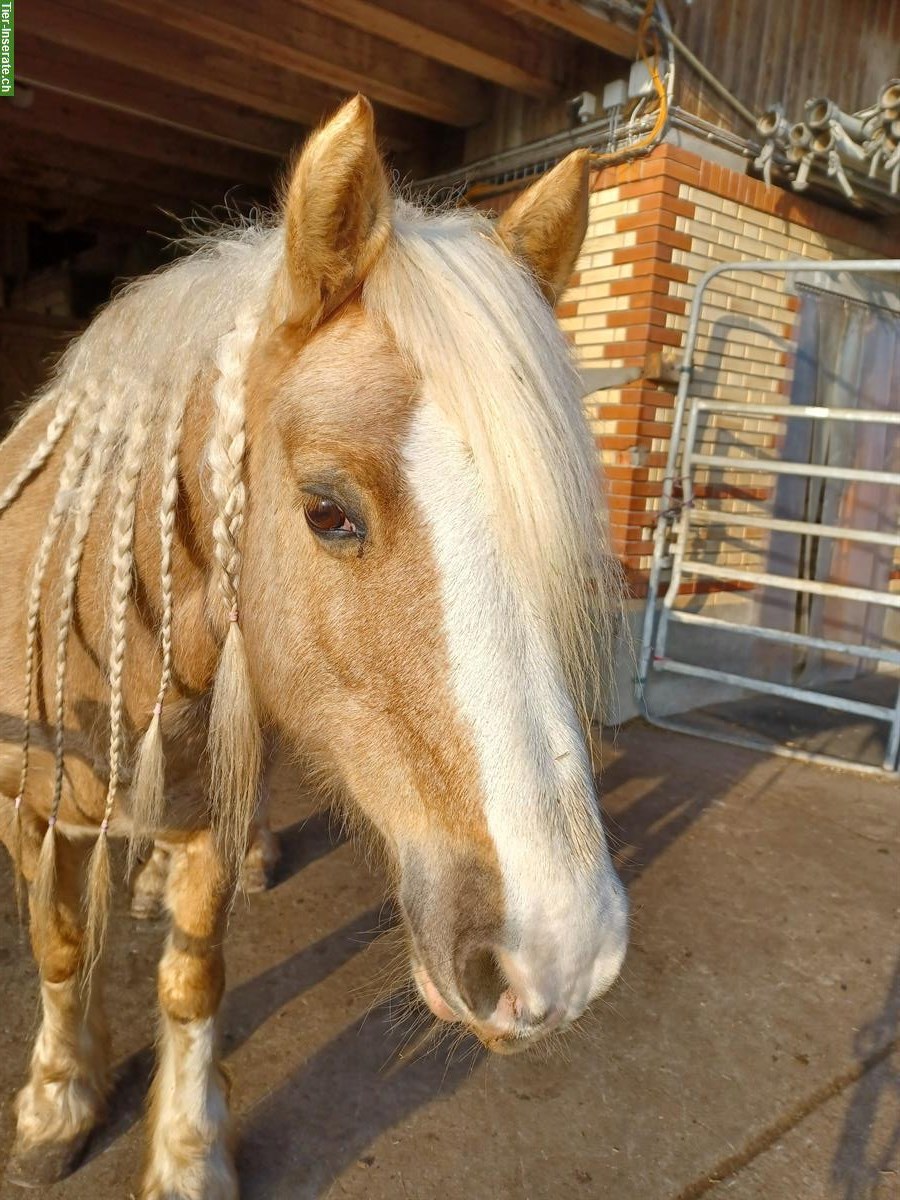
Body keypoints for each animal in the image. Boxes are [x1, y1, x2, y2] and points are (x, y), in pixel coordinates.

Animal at [0, 96, 628, 1200]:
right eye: (327, 512)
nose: (561, 950)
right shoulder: (31, 813)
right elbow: (63, 943)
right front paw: (55, 1105)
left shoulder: (203, 818)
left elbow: (192, 974)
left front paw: (187, 1155)